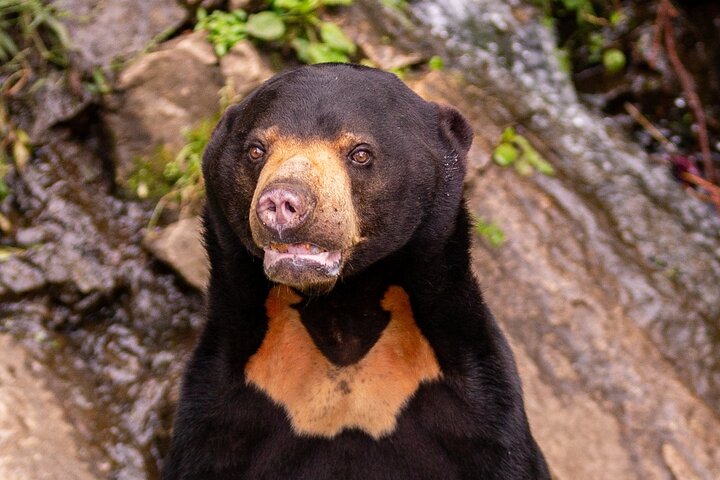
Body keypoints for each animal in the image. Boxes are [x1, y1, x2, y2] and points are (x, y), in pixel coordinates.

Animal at [162, 63, 550, 479]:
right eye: (256, 149)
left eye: (360, 153)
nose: (282, 202)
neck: (341, 318)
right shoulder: (221, 412)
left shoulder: (479, 407)